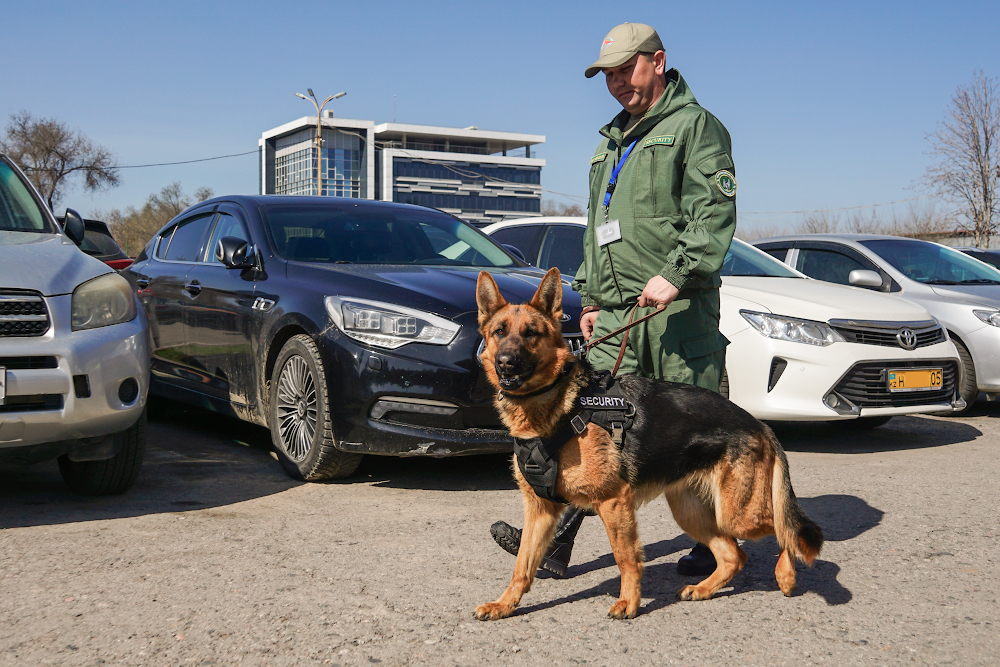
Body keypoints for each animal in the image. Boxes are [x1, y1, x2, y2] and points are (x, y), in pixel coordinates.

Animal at [472, 268, 824, 620]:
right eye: (499, 332)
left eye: (531, 333)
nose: (505, 362)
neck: (559, 401)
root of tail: (759, 423)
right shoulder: (540, 509)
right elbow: (522, 565)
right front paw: (505, 604)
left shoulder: (614, 501)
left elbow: (626, 558)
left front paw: (629, 602)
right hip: (692, 513)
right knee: (734, 555)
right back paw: (703, 589)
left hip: (738, 516)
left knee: (784, 529)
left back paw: (786, 575)